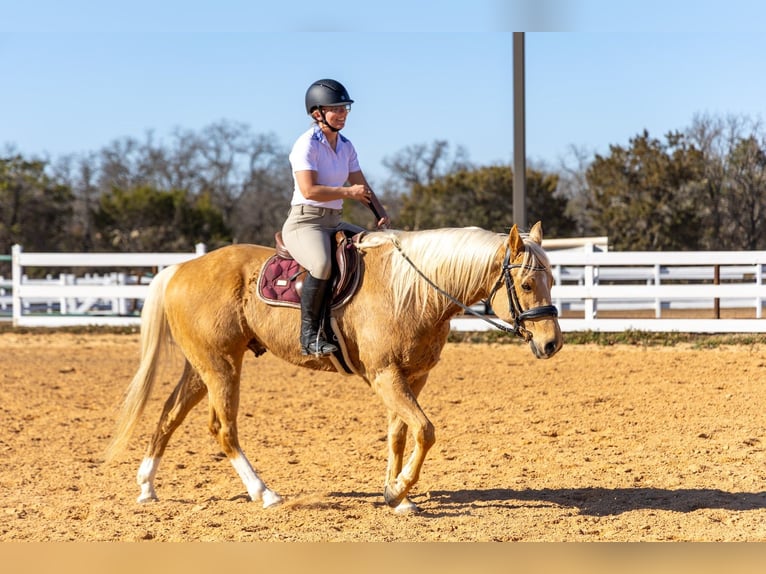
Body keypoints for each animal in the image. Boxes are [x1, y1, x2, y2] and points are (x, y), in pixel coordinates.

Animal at [106, 221, 563, 513]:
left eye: (553, 280)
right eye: (526, 284)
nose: (551, 343)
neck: (412, 291)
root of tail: (180, 268)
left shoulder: (412, 377)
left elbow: (400, 433)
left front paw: (396, 495)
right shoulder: (385, 376)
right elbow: (425, 431)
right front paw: (398, 491)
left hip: (201, 367)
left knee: (168, 415)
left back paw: (146, 487)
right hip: (222, 367)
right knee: (223, 429)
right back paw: (264, 493)